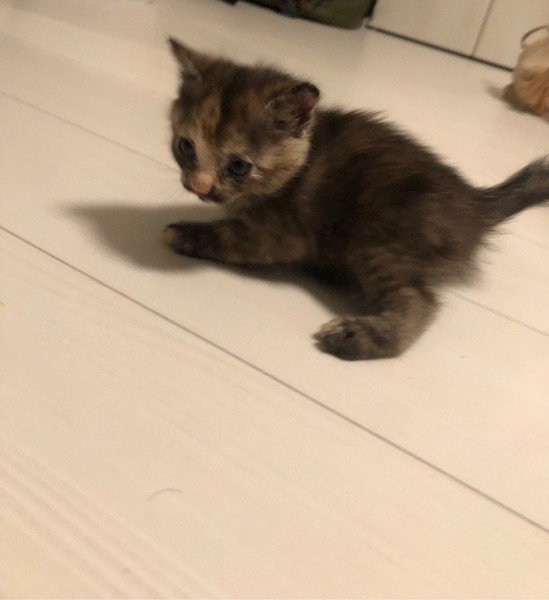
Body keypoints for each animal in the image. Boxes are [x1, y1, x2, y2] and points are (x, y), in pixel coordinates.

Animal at [163, 38, 549, 360]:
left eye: (239, 166)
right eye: (186, 147)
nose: (199, 187)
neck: (299, 166)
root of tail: (474, 203)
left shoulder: (282, 233)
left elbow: (230, 235)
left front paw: (183, 232)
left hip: (375, 238)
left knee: (419, 299)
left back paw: (356, 337)